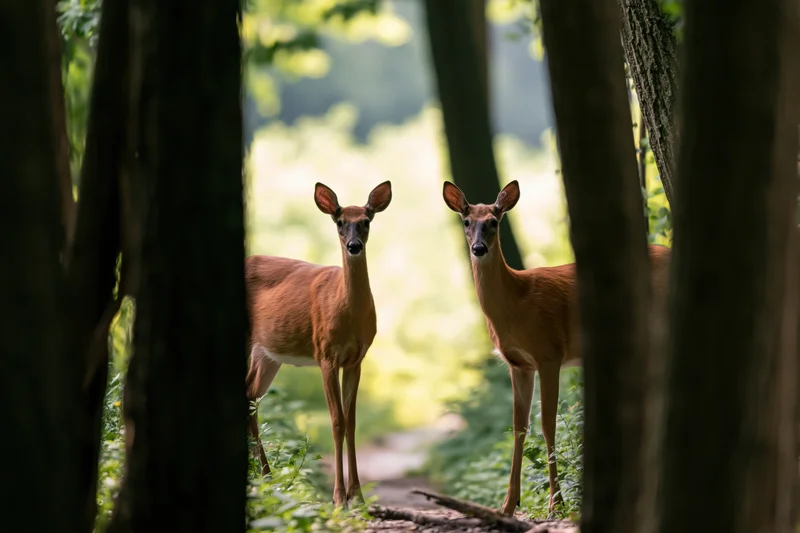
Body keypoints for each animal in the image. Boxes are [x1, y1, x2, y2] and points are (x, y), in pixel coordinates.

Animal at [245, 180, 392, 507]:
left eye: (366, 221)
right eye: (339, 222)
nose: (354, 246)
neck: (346, 310)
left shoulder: (356, 359)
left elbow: (351, 422)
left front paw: (358, 497)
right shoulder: (326, 355)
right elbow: (336, 421)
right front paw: (339, 499)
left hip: (267, 354)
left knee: (250, 396)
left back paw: (266, 478)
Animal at [442, 179, 671, 516]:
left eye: (494, 222)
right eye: (467, 222)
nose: (478, 248)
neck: (515, 304)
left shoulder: (549, 353)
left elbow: (548, 424)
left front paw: (556, 505)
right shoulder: (519, 364)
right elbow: (518, 427)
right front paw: (508, 505)